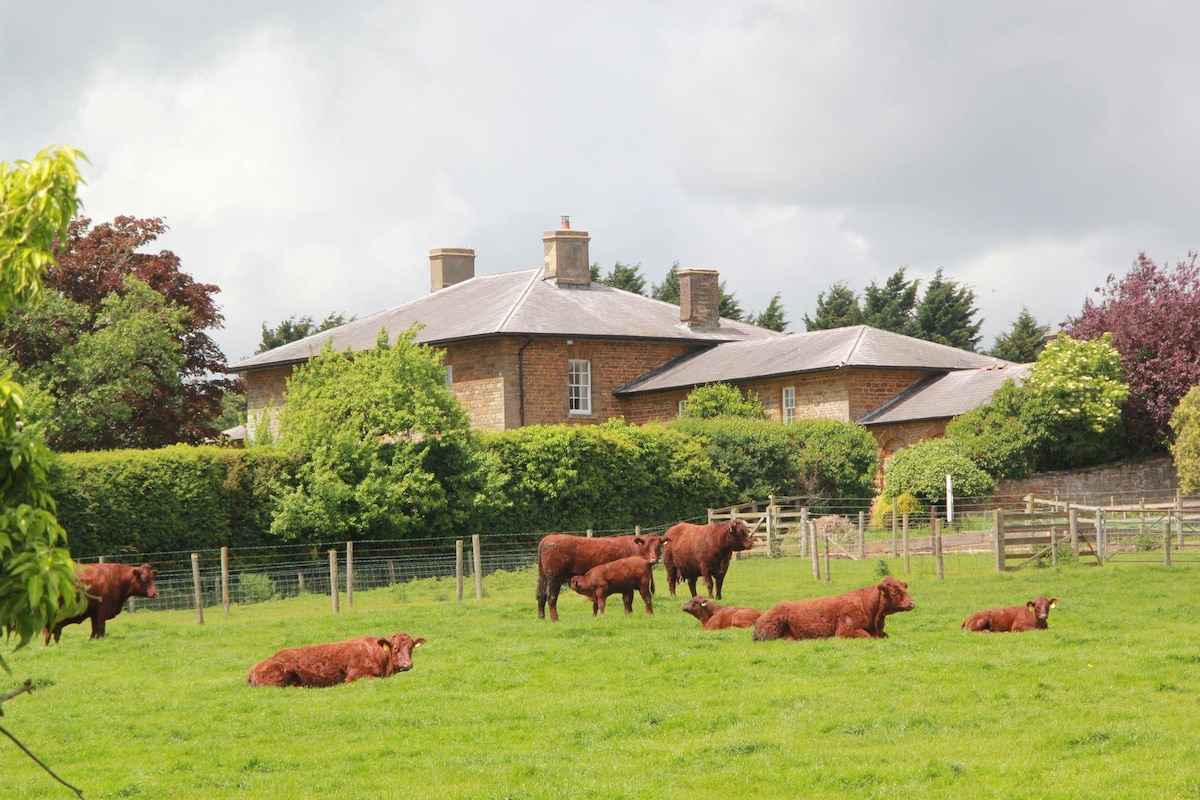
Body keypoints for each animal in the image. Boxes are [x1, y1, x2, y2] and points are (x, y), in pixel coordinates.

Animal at [535, 534, 667, 623]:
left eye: (659, 546)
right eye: (646, 546)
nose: (653, 559)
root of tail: (548, 538)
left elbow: (627, 600)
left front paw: (628, 614)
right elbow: (629, 599)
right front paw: (629, 613)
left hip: (543, 577)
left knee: (541, 596)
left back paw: (541, 617)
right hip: (554, 579)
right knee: (551, 598)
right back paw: (555, 619)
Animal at [753, 575, 912, 642]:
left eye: (904, 588)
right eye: (894, 592)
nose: (911, 603)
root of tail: (760, 618)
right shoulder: (845, 631)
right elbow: (867, 636)